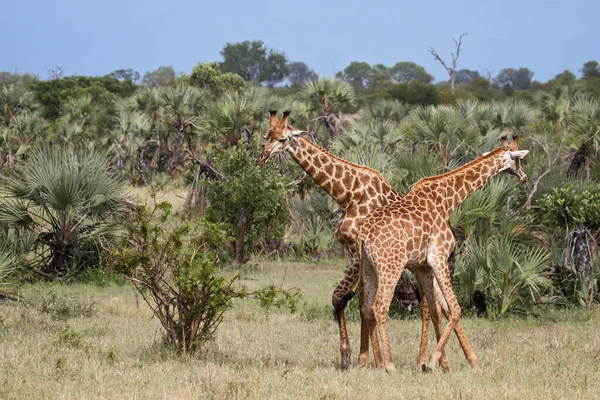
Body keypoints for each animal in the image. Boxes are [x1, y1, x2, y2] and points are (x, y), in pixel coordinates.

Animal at [260, 110, 476, 372]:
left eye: (282, 139)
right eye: (267, 135)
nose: (263, 156)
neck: (348, 193)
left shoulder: (357, 252)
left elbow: (348, 299)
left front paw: (359, 358)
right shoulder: (355, 254)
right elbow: (358, 302)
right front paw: (366, 359)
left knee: (434, 306)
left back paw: (447, 360)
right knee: (439, 305)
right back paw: (453, 360)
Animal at [358, 135, 528, 372]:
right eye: (520, 160)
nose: (524, 177)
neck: (448, 200)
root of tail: (363, 235)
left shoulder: (422, 266)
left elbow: (436, 310)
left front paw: (441, 364)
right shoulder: (438, 257)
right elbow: (454, 308)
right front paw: (433, 361)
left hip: (368, 268)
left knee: (366, 308)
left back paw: (378, 363)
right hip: (390, 267)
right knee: (380, 307)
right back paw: (390, 365)